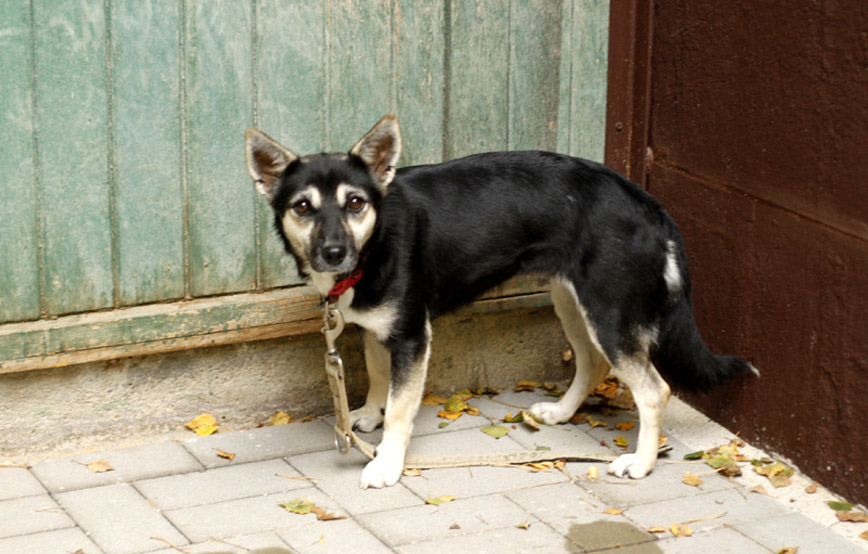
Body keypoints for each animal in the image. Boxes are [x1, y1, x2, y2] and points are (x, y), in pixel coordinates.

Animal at [246, 114, 760, 486]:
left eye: (355, 203)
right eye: (303, 207)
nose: (335, 252)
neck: (376, 242)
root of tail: (648, 202)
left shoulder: (412, 336)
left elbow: (401, 408)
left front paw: (387, 462)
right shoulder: (381, 329)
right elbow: (378, 379)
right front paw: (369, 417)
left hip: (610, 313)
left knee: (654, 390)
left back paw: (641, 463)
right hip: (570, 300)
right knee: (593, 364)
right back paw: (561, 413)